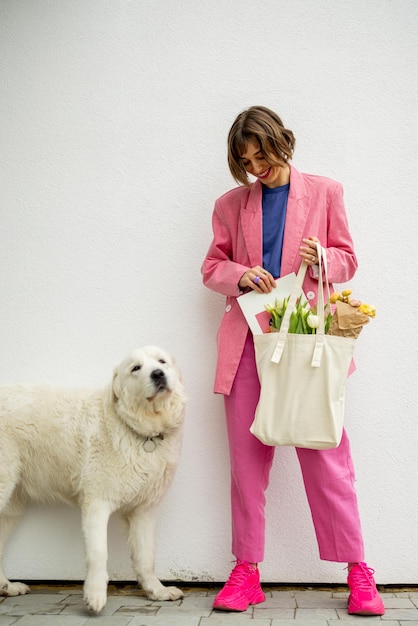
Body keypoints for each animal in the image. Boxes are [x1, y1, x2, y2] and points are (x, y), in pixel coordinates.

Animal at [0, 348, 186, 612]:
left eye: (162, 361)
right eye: (136, 368)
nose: (158, 373)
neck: (138, 431)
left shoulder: (143, 512)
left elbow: (146, 557)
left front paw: (156, 591)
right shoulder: (96, 504)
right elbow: (99, 553)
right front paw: (95, 595)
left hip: (11, 507)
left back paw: (6, 586)